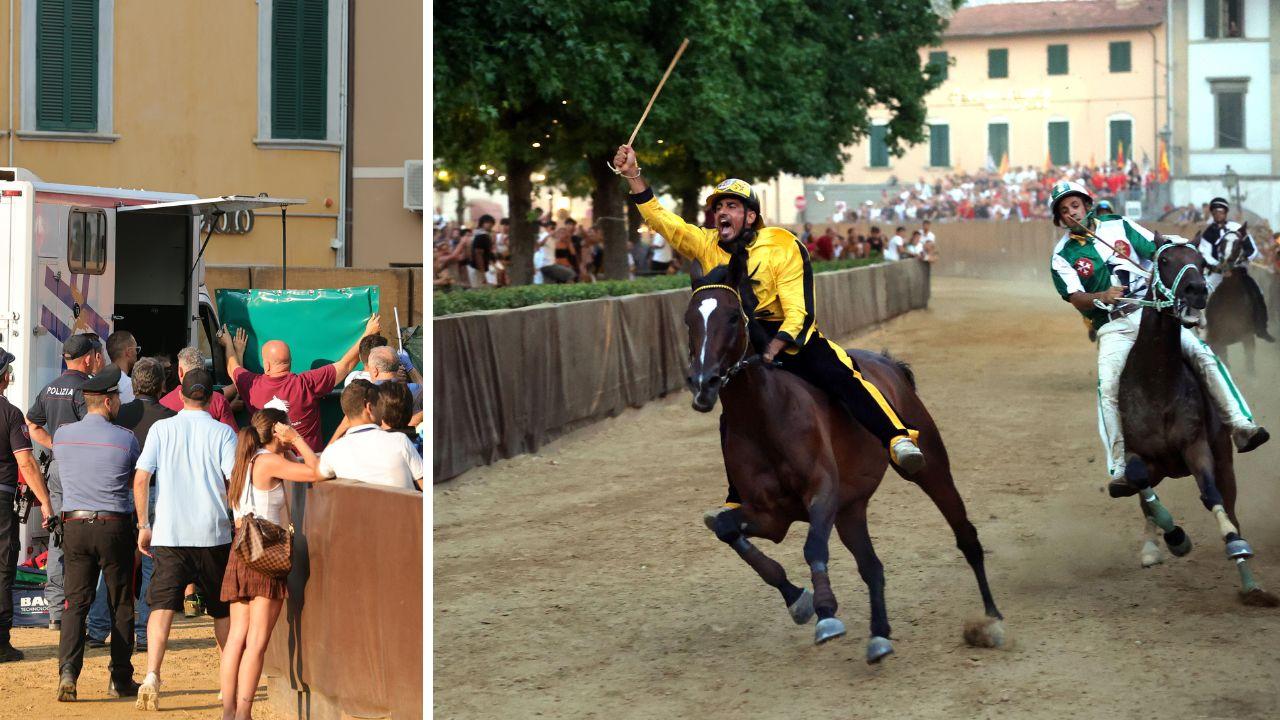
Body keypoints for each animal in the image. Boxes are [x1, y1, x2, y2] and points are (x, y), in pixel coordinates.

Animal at [683, 249, 1004, 664]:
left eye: (733, 316)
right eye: (688, 319)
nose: (703, 384)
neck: (763, 416)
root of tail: (889, 365)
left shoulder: (823, 491)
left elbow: (813, 547)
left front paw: (826, 613)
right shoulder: (772, 515)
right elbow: (727, 528)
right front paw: (799, 600)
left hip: (931, 465)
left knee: (965, 535)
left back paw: (991, 616)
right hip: (852, 510)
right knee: (872, 567)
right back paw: (879, 636)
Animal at [1116, 237, 1279, 606]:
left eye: (1200, 261)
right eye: (1164, 261)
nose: (1196, 291)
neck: (1156, 381)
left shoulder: (1197, 446)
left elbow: (1211, 494)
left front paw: (1245, 570)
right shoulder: (1135, 452)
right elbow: (1141, 486)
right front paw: (1175, 538)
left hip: (1224, 460)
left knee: (1228, 501)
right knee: (1143, 497)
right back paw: (1151, 548)